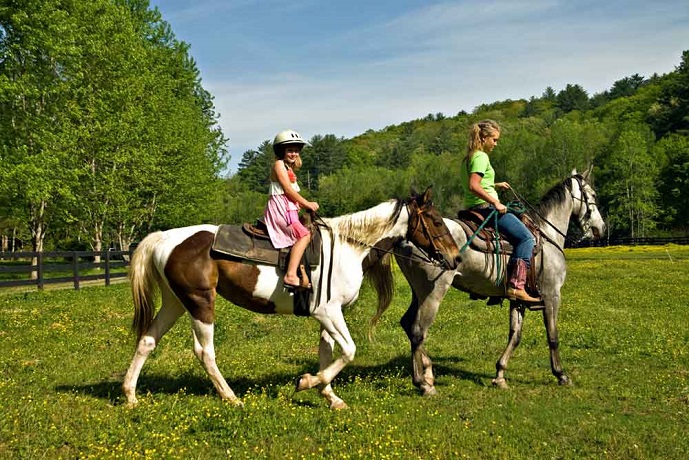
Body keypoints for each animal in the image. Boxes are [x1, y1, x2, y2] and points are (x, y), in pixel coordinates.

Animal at [122, 187, 462, 410]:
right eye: (434, 220)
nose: (456, 258)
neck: (349, 247)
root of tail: (165, 238)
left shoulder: (328, 315)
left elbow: (328, 353)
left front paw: (330, 396)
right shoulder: (328, 312)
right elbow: (348, 351)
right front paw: (308, 383)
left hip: (175, 303)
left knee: (147, 341)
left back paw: (130, 395)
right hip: (200, 303)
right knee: (204, 352)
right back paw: (230, 396)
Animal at [390, 169, 604, 396]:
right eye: (593, 195)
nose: (600, 228)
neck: (547, 237)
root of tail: (405, 238)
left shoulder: (518, 299)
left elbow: (515, 336)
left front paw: (500, 375)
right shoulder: (552, 295)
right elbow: (552, 337)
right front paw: (561, 375)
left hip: (418, 293)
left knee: (408, 324)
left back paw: (428, 373)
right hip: (433, 293)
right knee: (418, 331)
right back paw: (423, 382)